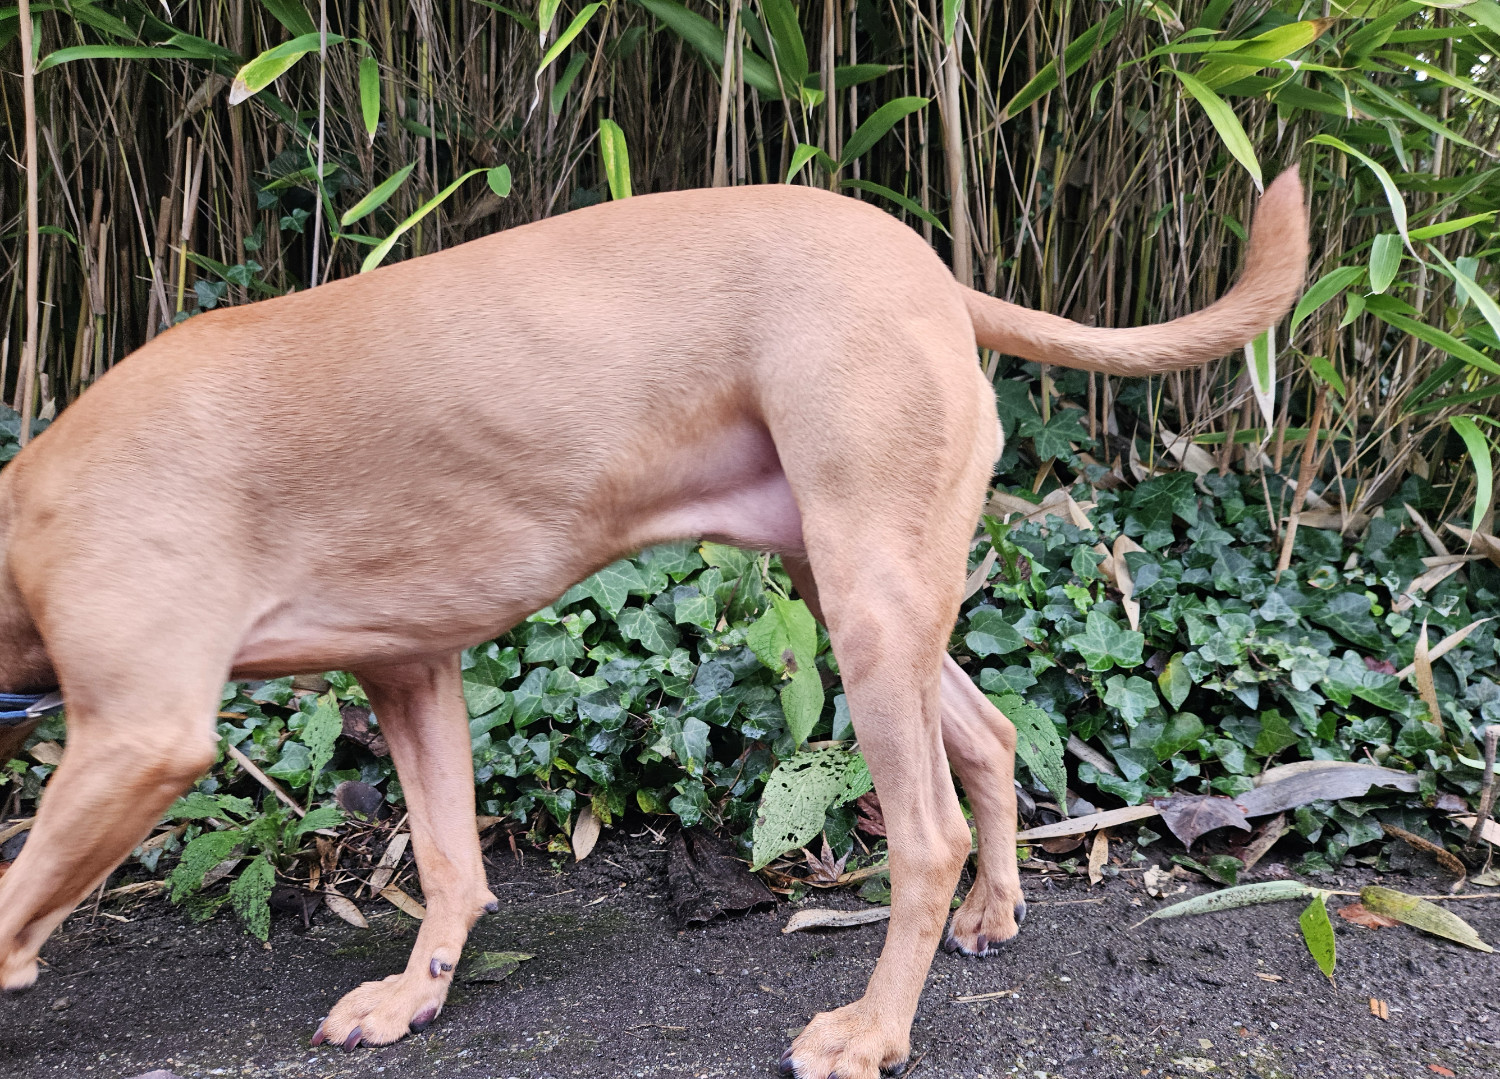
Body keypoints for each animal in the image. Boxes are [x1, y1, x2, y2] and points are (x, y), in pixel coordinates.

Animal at [0, 173, 1302, 1074]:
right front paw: (414, 993)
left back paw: (874, 1027)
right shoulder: (412, 671)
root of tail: (928, 268)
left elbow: (13, 897)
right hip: (859, 589)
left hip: (870, 607)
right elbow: (452, 862)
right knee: (989, 735)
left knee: (922, 834)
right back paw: (991, 909)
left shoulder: (141, 738)